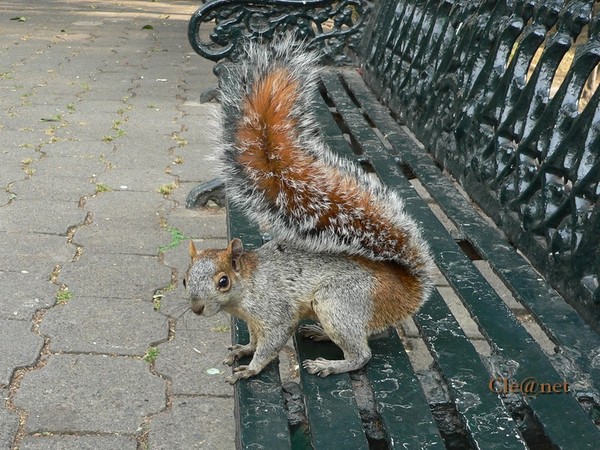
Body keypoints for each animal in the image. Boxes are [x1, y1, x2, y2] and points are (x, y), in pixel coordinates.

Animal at [185, 35, 434, 384]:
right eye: (184, 279)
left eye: (223, 281)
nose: (195, 308)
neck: (247, 285)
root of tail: (404, 291)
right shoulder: (252, 319)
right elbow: (254, 339)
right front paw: (244, 350)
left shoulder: (274, 311)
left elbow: (271, 341)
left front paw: (251, 368)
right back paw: (320, 334)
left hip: (338, 304)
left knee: (362, 354)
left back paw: (331, 364)